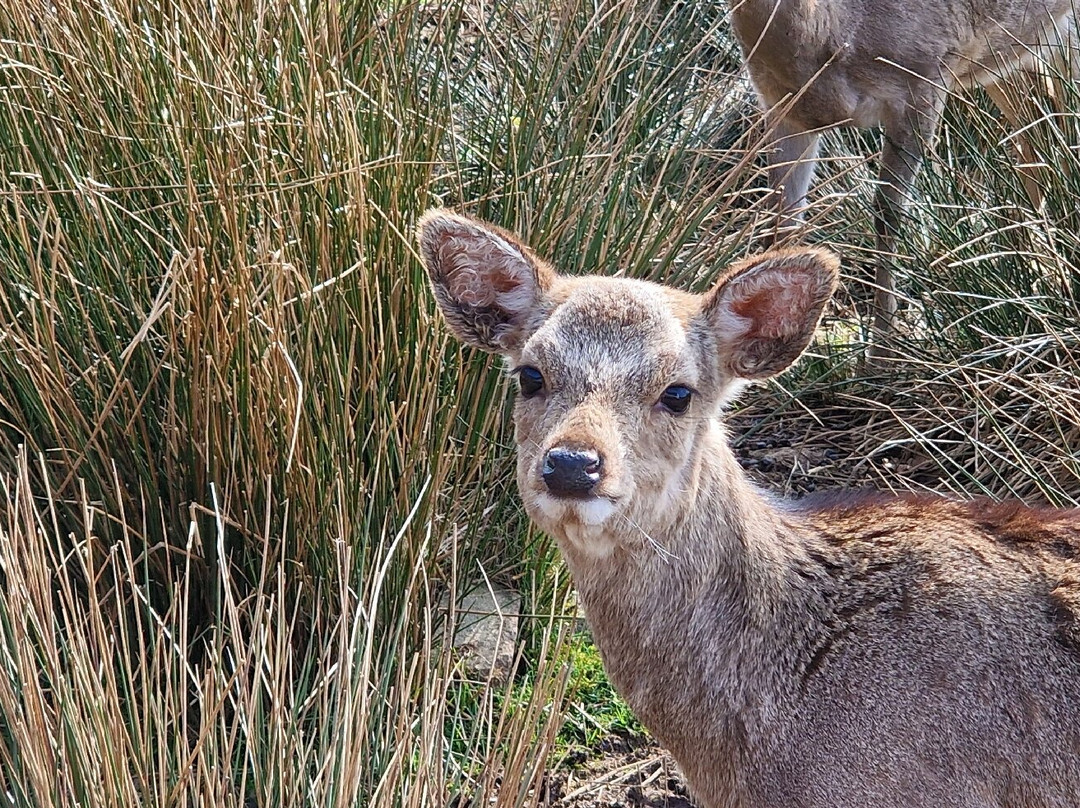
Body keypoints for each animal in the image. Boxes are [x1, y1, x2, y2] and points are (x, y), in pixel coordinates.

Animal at [732, 0, 1077, 349]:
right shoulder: (782, 107)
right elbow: (782, 220)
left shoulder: (923, 78)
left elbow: (889, 212)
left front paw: (882, 349)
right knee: (1036, 137)